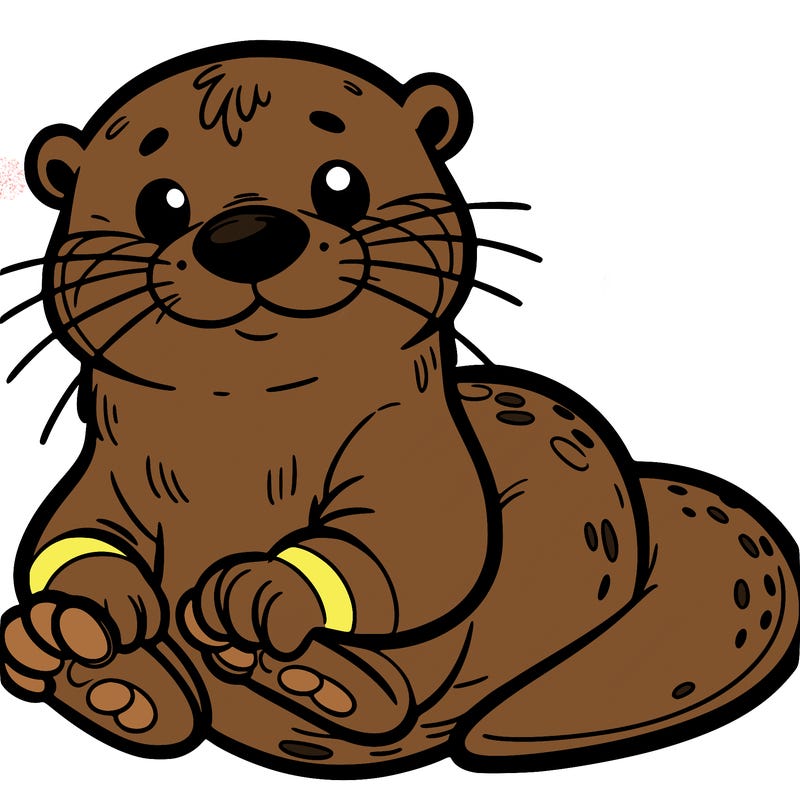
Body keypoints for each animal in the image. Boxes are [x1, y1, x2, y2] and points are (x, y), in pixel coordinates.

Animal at [0, 41, 798, 778]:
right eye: (160, 203)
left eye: (341, 183)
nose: (249, 234)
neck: (244, 444)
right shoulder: (107, 473)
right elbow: (68, 535)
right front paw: (99, 601)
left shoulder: (418, 459)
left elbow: (412, 551)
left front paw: (267, 588)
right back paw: (95, 674)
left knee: (412, 686)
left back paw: (315, 677)